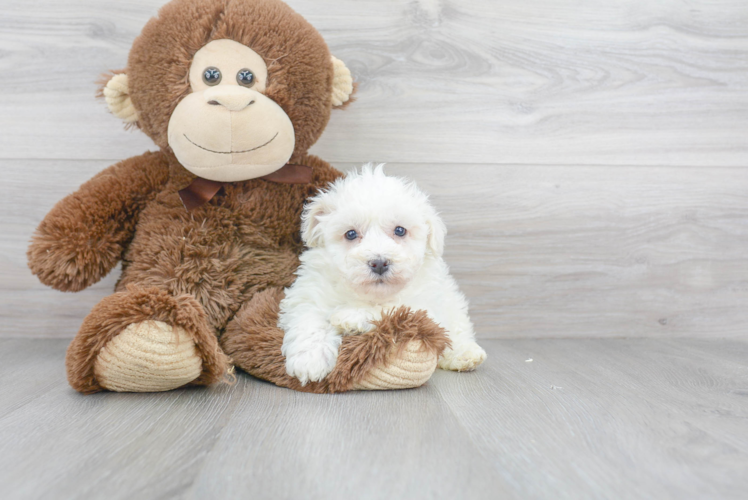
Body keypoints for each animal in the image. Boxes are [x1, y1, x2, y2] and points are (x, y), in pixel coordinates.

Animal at [278, 165, 488, 386]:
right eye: (351, 234)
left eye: (400, 230)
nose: (379, 263)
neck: (367, 295)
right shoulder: (309, 292)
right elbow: (308, 317)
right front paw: (309, 360)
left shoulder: (423, 307)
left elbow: (391, 308)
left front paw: (350, 316)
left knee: (457, 328)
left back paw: (465, 354)